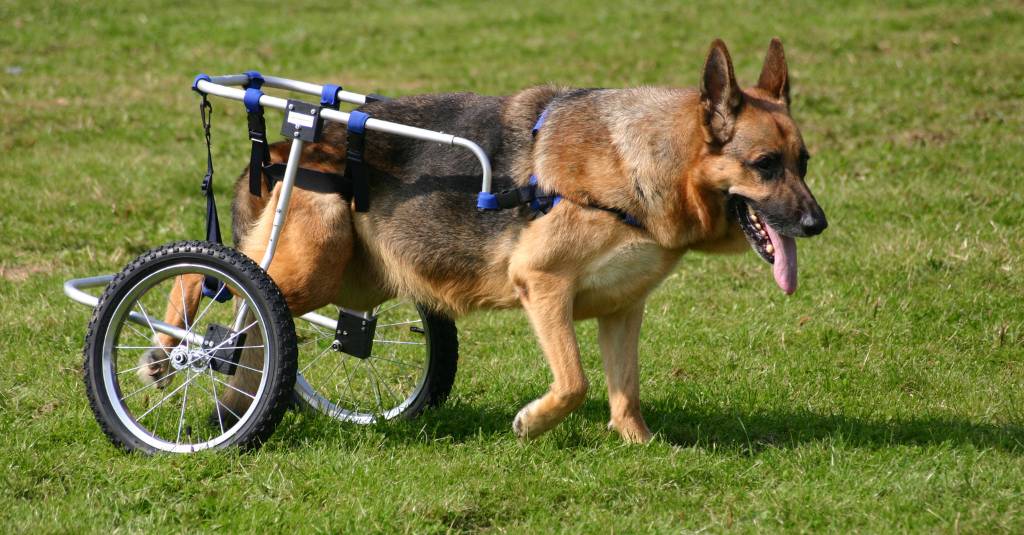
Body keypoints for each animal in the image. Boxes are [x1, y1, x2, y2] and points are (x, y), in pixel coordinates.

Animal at [138, 37, 823, 440]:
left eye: (805, 162)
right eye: (766, 165)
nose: (818, 225)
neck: (639, 168)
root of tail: (281, 147)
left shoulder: (622, 310)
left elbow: (623, 394)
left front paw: (641, 448)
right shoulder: (542, 285)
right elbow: (573, 384)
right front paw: (531, 422)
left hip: (338, 274)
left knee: (252, 328)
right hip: (307, 262)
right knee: (206, 287)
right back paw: (163, 353)